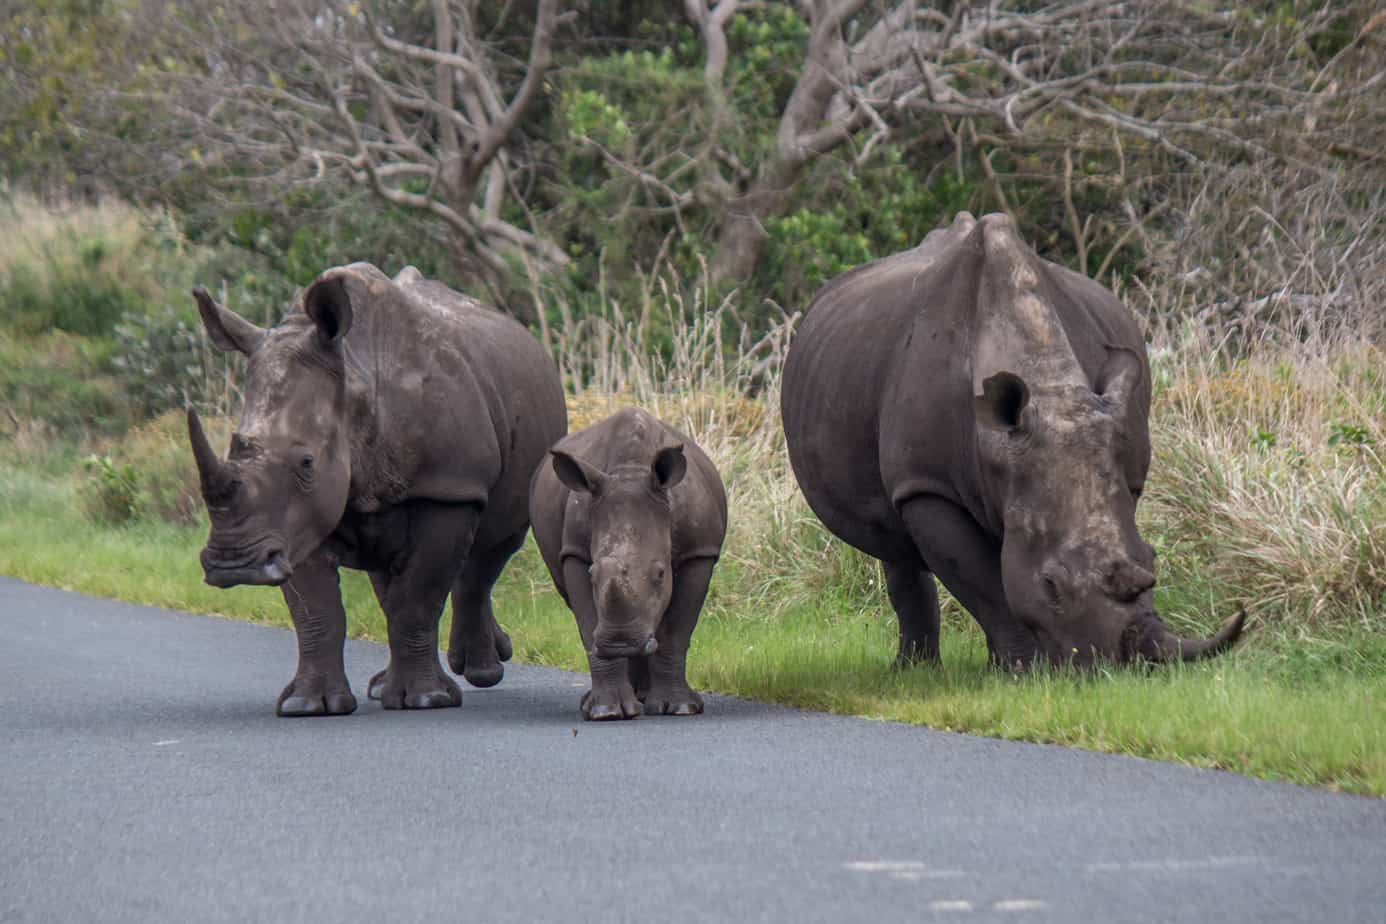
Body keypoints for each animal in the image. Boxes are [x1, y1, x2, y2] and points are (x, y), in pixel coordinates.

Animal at [187, 260, 565, 714]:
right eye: (235, 446)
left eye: (307, 463)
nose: (234, 565)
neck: (355, 376)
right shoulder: (294, 520)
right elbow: (317, 611)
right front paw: (310, 706)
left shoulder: (447, 487)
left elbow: (419, 595)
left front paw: (426, 700)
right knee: (393, 575)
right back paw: (384, 685)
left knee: (492, 550)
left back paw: (481, 673)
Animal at [526, 410, 726, 720]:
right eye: (592, 575)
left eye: (660, 573)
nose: (620, 642)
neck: (630, 471)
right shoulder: (574, 552)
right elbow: (588, 626)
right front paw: (606, 712)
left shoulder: (699, 552)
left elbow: (676, 631)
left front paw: (681, 708)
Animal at [781, 213, 1247, 667]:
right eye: (1051, 585)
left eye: (1152, 560)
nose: (1116, 666)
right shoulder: (928, 485)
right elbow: (985, 584)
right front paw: (1021, 670)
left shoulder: (1120, 469)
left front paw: (1018, 668)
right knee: (893, 543)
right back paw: (913, 671)